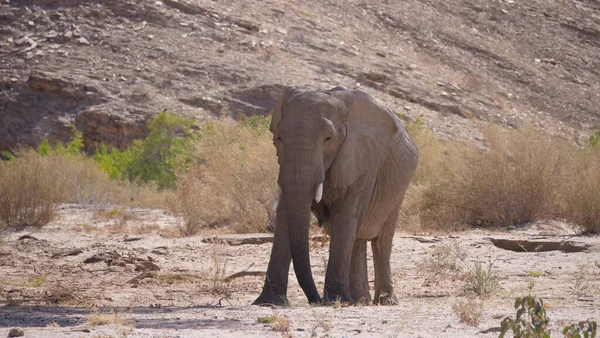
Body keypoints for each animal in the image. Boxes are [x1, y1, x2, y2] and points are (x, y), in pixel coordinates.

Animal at [252, 86, 418, 304]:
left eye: (328, 139)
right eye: (279, 138)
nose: (315, 300)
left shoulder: (362, 159)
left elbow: (345, 215)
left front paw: (335, 301)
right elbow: (286, 213)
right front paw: (270, 302)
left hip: (398, 187)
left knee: (380, 241)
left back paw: (383, 301)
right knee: (357, 239)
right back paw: (360, 300)